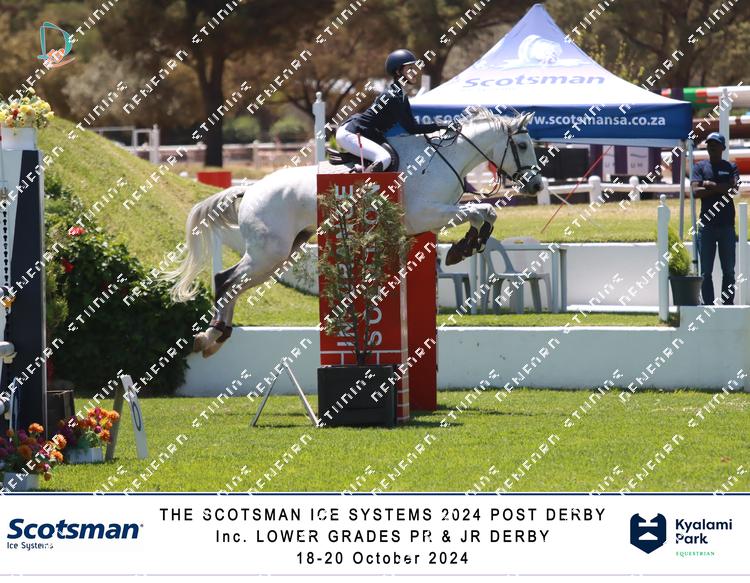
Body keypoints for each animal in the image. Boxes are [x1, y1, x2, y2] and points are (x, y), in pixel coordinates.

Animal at [163, 107, 543, 357]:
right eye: (524, 146)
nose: (537, 184)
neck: (440, 160)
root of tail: (250, 189)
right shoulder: (425, 214)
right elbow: (482, 210)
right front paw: (464, 247)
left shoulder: (435, 217)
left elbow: (483, 213)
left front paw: (464, 246)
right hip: (268, 254)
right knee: (226, 279)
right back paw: (210, 336)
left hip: (280, 253)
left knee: (233, 284)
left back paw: (217, 336)